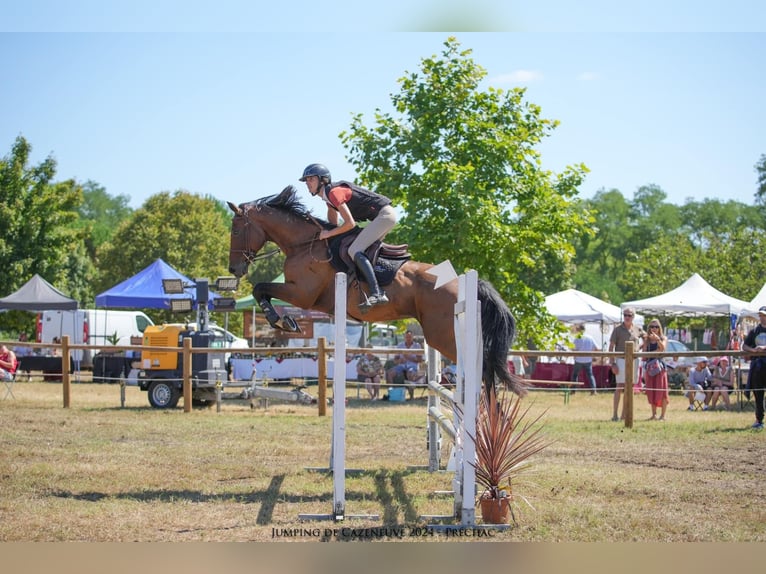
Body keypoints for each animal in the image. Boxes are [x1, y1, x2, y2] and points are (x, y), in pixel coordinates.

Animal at [228, 187, 528, 398]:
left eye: (236, 231)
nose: (234, 269)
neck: (304, 245)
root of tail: (463, 282)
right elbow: (262, 290)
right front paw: (284, 321)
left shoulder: (302, 294)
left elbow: (261, 288)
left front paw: (282, 321)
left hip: (442, 335)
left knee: (480, 368)